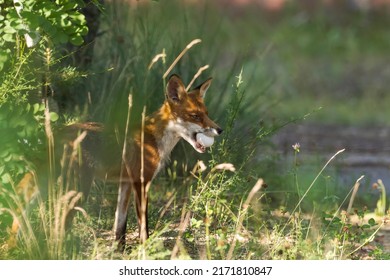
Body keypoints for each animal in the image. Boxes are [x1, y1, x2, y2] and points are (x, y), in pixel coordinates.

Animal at [112, 74, 222, 247]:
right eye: (195, 116)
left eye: (207, 114)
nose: (220, 130)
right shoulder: (141, 182)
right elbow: (143, 225)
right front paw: (145, 247)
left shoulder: (126, 182)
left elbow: (120, 225)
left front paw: (119, 249)